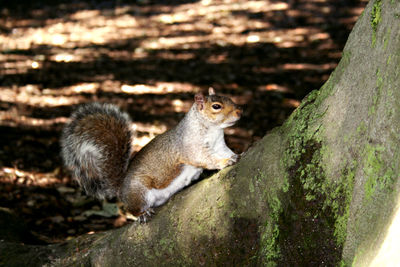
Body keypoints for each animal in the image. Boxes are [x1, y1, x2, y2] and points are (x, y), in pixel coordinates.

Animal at [59, 88, 241, 222]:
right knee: (133, 209)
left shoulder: (219, 145)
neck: (213, 130)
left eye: (229, 98)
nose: (239, 112)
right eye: (216, 106)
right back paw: (142, 214)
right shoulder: (191, 146)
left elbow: (225, 152)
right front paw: (224, 162)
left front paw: (235, 155)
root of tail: (121, 189)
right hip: (139, 192)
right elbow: (204, 159)